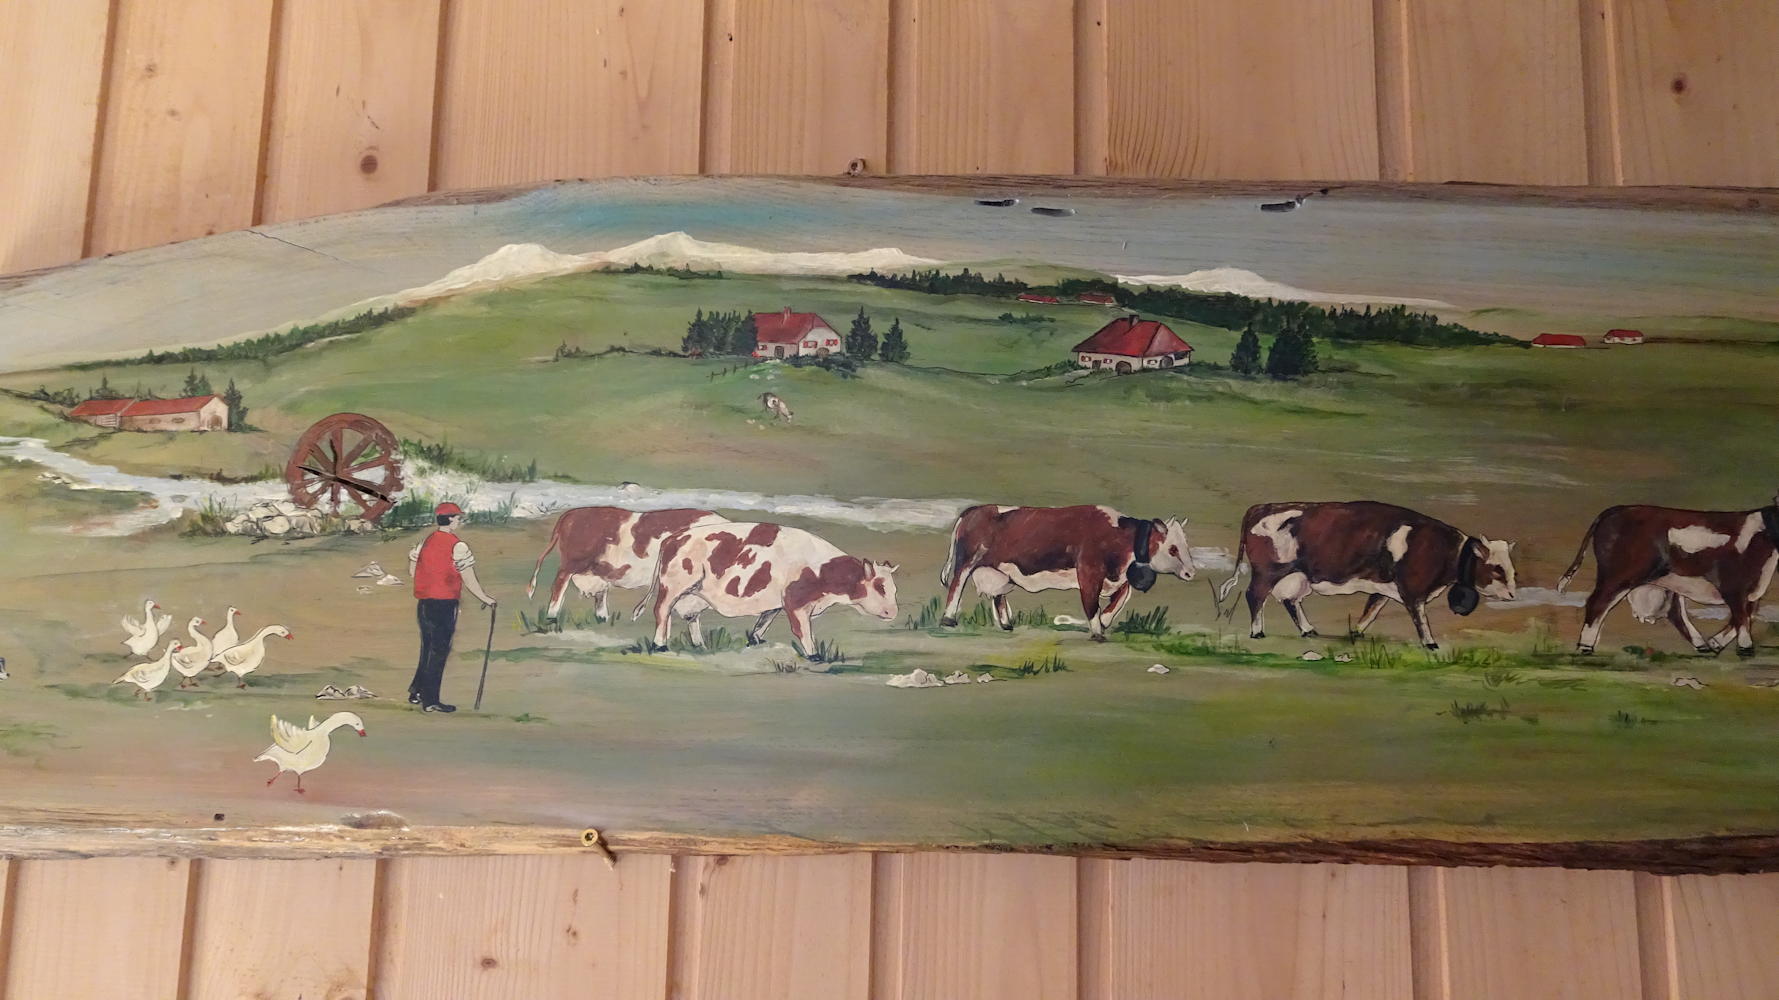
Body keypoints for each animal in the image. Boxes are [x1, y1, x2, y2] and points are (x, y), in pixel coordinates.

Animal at [525, 507, 724, 622]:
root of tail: (570, 514)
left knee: (600, 596)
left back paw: (603, 619)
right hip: (569, 565)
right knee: (558, 588)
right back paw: (551, 618)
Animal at [631, 521, 900, 659]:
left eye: (894, 589)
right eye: (880, 586)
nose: (893, 612)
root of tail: (674, 537)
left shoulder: (776, 603)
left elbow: (762, 623)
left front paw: (755, 642)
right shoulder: (795, 602)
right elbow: (803, 631)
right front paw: (814, 656)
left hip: (695, 593)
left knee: (690, 616)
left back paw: (700, 646)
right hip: (673, 586)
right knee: (662, 611)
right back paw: (659, 645)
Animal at [937, 505, 1195, 641]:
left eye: (1185, 544)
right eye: (1173, 548)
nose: (1191, 572)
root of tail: (973, 510)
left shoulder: (1117, 577)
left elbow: (1120, 598)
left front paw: (1104, 622)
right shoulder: (1089, 571)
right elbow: (1091, 604)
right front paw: (1097, 633)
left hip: (999, 571)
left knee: (998, 596)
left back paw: (1006, 625)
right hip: (967, 561)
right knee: (956, 586)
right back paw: (948, 619)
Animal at [1216, 501, 1519, 649]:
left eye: (1512, 569)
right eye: (1497, 568)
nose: (1513, 593)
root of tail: (1263, 507)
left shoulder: (1385, 587)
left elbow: (1371, 610)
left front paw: (1355, 632)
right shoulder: (1412, 590)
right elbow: (1420, 619)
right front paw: (1430, 643)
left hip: (1297, 575)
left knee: (1290, 600)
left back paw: (1308, 630)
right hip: (1268, 571)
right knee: (1255, 596)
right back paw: (1257, 632)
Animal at [1556, 503, 1779, 656]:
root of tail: (1617, 509)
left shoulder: (1752, 590)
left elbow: (1746, 615)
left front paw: (1716, 643)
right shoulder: (1733, 587)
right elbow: (1742, 617)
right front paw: (1745, 648)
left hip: (1670, 581)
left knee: (1676, 613)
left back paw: (1702, 646)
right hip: (1618, 575)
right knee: (1597, 603)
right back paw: (1585, 647)